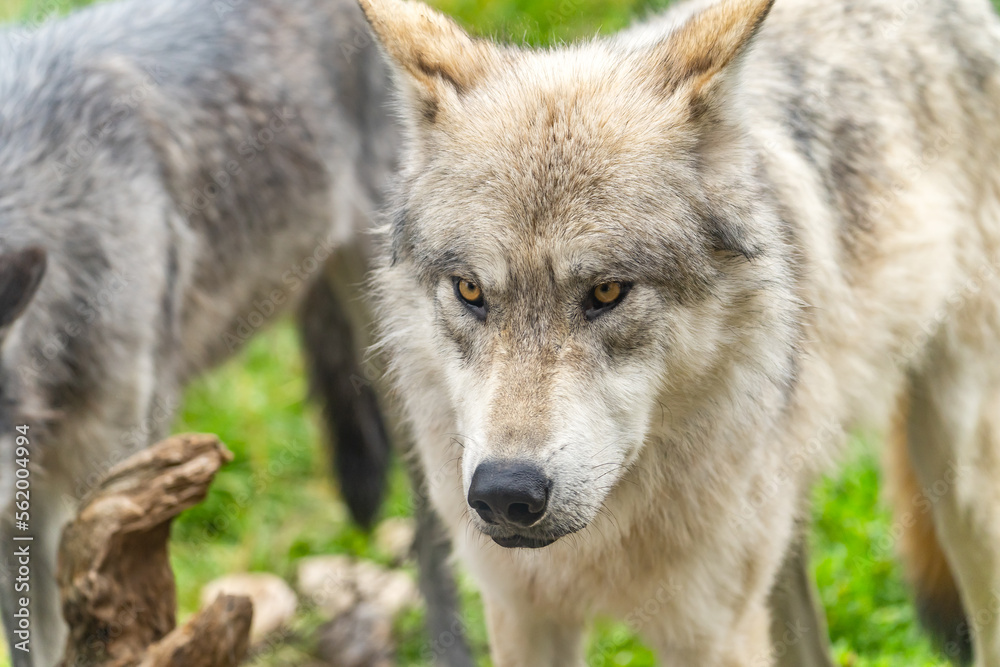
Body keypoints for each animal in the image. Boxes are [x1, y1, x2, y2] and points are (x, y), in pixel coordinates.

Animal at [364, 0, 1000, 664]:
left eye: (607, 292)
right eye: (470, 291)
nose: (504, 492)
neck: (602, 537)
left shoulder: (712, 634)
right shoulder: (521, 613)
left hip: (958, 480)